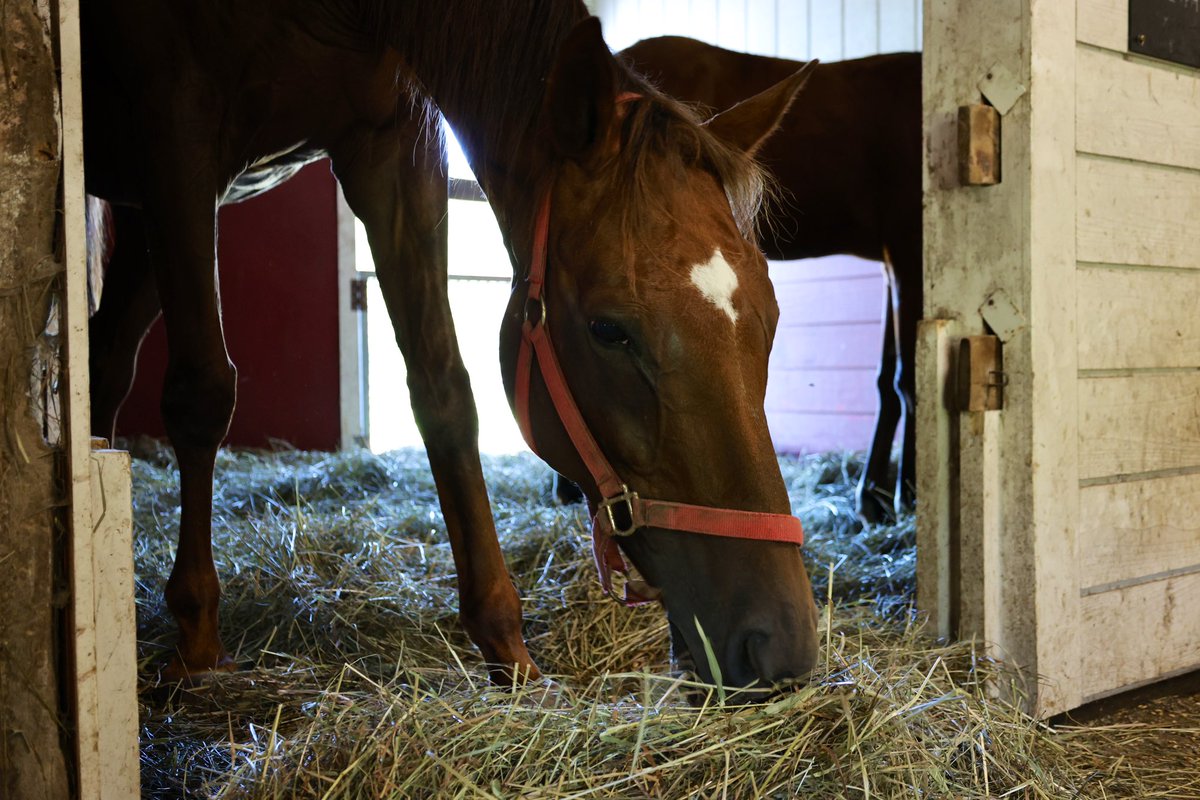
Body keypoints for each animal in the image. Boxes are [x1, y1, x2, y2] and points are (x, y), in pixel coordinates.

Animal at [82, 1, 819, 700]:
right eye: (609, 330)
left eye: (773, 317)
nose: (781, 645)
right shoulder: (178, 136)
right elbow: (202, 391)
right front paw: (197, 641)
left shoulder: (394, 151)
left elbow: (444, 392)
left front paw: (508, 650)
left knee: (107, 361)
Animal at [620, 36, 922, 524]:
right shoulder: (909, 248)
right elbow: (907, 380)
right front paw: (904, 494)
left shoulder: (892, 259)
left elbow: (886, 379)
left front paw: (873, 497)